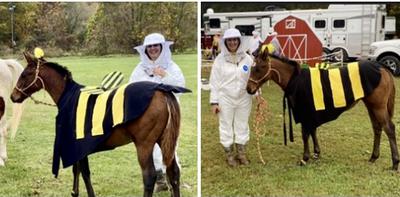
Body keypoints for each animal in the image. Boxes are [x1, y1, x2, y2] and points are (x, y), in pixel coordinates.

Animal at [9, 52, 184, 197]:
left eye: (25, 74)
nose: (13, 96)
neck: (68, 97)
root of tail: (161, 90)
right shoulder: (77, 149)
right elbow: (77, 170)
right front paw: (74, 192)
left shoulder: (77, 146)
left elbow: (84, 172)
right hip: (164, 142)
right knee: (174, 172)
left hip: (144, 145)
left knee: (149, 177)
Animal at [245, 45, 398, 171]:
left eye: (258, 68)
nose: (249, 89)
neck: (295, 79)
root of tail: (381, 67)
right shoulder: (311, 113)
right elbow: (313, 131)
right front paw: (316, 153)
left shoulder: (305, 112)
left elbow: (305, 134)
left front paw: (305, 158)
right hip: (371, 106)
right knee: (377, 128)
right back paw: (373, 157)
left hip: (378, 107)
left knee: (389, 128)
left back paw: (395, 163)